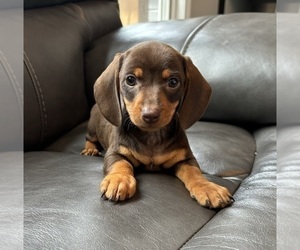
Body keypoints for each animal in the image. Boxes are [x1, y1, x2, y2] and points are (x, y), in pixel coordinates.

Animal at [82, 41, 234, 209]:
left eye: (173, 82)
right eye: (130, 80)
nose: (150, 115)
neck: (152, 137)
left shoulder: (184, 159)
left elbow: (194, 172)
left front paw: (208, 187)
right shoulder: (115, 152)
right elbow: (120, 164)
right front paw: (118, 180)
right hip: (92, 130)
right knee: (89, 138)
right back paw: (90, 149)